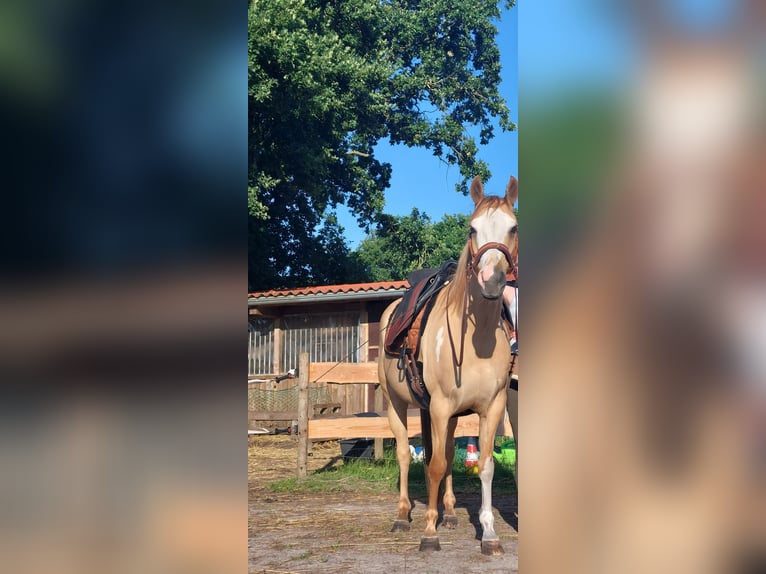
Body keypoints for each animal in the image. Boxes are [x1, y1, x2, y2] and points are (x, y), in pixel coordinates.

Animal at [378, 175, 518, 555]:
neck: (477, 339)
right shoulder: (440, 406)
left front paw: (489, 533)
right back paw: (402, 515)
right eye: (472, 228)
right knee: (403, 455)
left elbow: (483, 466)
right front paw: (429, 532)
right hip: (397, 406)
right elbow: (436, 464)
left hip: (450, 416)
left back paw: (451, 512)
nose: (491, 281)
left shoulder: (491, 407)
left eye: (513, 227)